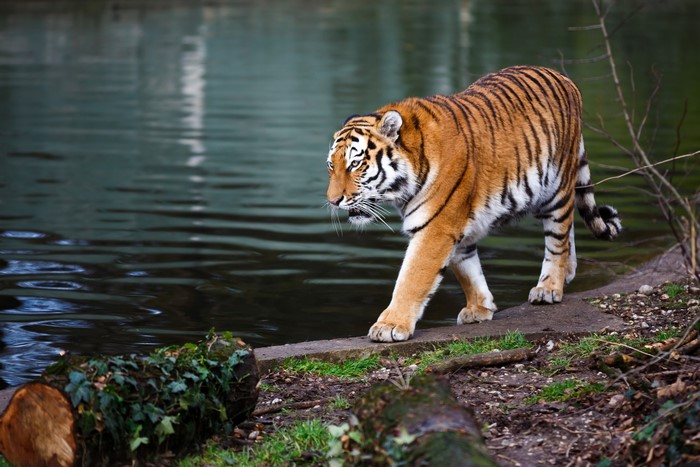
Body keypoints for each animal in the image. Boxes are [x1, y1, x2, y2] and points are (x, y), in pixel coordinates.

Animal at [325, 65, 621, 343]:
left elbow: (412, 279)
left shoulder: (436, 228)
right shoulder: (457, 226)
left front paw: (389, 326)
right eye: (331, 165)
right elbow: (467, 268)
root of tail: (563, 77)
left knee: (558, 236)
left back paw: (549, 288)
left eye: (355, 164)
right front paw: (479, 308)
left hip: (556, 189)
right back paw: (568, 272)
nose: (332, 200)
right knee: (568, 226)